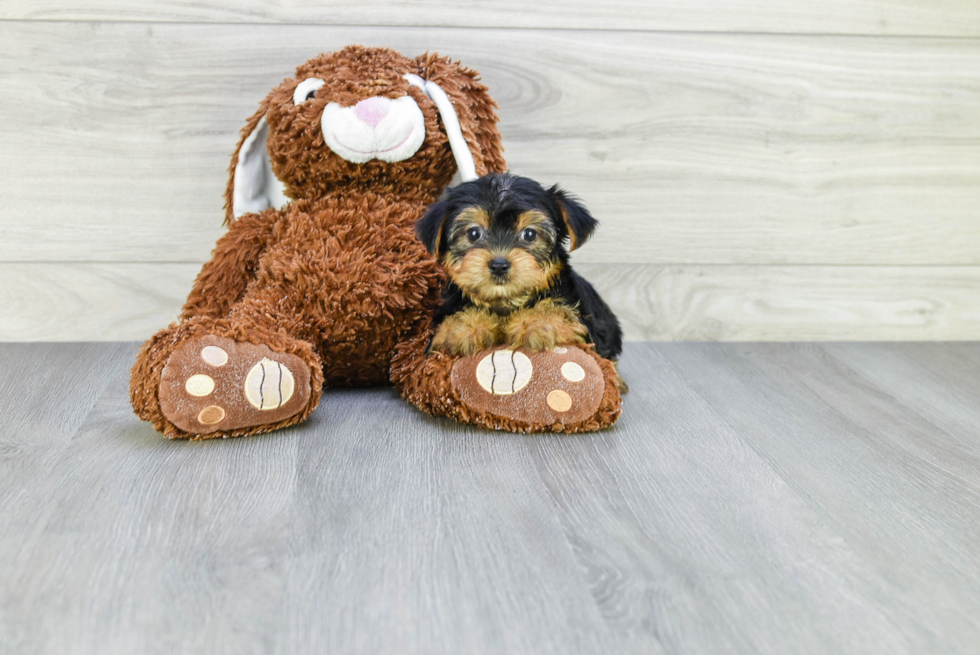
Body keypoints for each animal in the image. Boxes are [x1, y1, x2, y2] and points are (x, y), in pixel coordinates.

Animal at [414, 174, 620, 364]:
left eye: (529, 234)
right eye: (473, 233)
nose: (499, 265)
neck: (505, 302)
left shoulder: (584, 323)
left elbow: (564, 314)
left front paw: (539, 322)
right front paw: (464, 326)